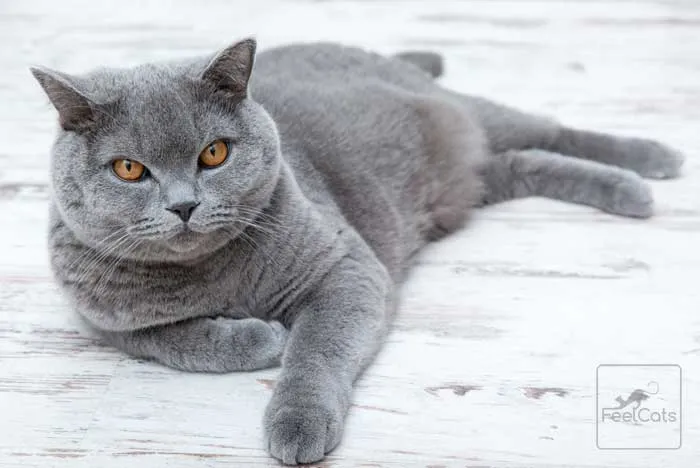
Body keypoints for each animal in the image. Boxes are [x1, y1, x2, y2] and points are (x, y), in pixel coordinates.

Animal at [32, 38, 684, 462]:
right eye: (129, 169)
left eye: (214, 154)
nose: (185, 205)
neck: (213, 273)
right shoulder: (100, 318)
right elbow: (173, 341)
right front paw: (259, 336)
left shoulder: (346, 266)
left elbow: (317, 348)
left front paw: (297, 421)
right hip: (470, 178)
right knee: (528, 162)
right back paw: (626, 186)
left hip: (473, 116)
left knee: (549, 130)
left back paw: (651, 163)